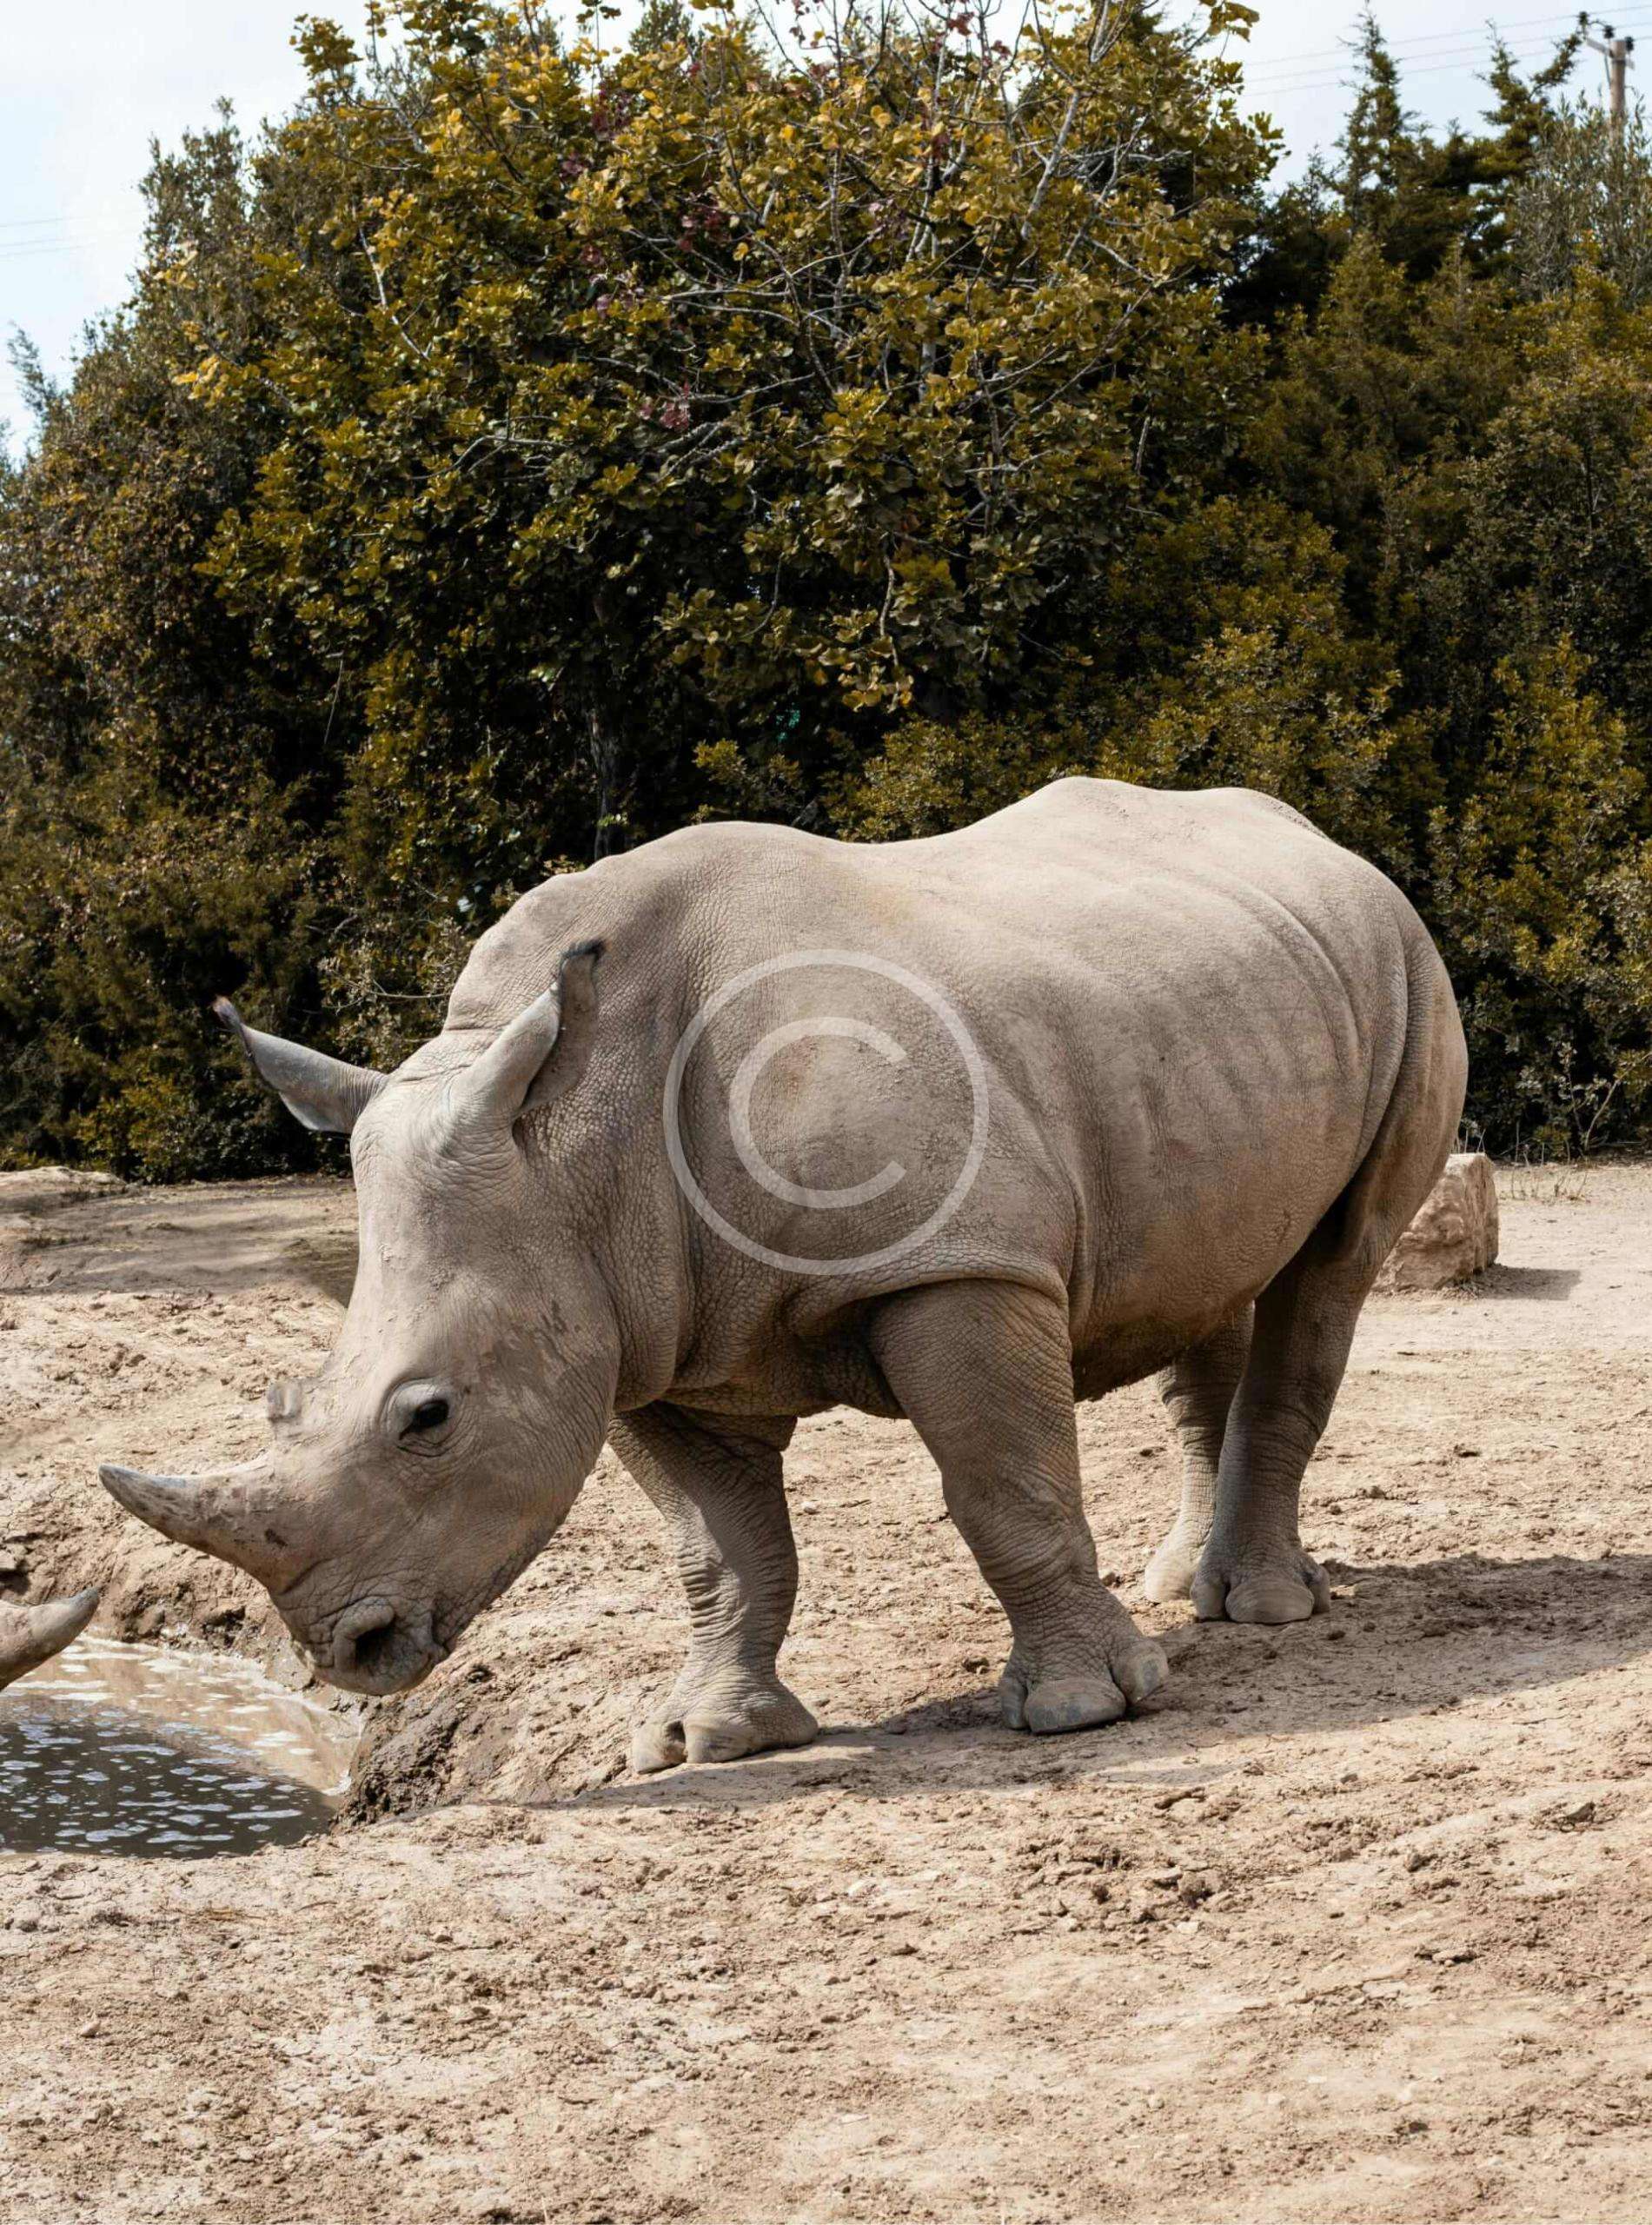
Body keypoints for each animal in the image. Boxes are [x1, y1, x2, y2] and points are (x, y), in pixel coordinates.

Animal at [100, 779, 1466, 1769]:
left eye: (427, 1418)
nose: (347, 1649)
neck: (574, 1144)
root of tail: (1323, 841)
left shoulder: (956, 1269)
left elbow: (1005, 1490)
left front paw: (1083, 1713)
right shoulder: (636, 1328)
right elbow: (720, 1548)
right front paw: (705, 1740)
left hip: (1404, 963)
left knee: (1330, 1270)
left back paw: (1260, 1612)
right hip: (1211, 1007)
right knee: (1212, 1276)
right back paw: (1183, 1588)